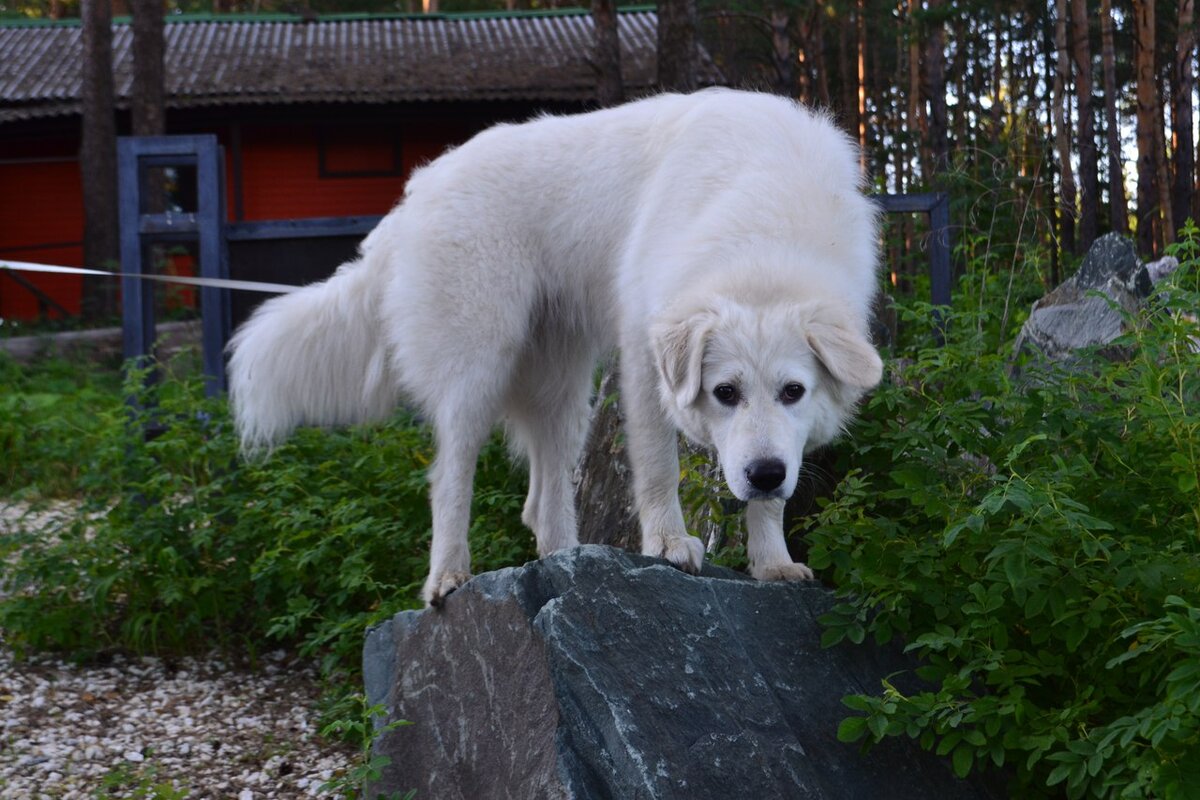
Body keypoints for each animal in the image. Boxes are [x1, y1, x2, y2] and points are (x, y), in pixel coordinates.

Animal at [225, 89, 883, 606]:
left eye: (794, 392)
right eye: (725, 393)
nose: (765, 474)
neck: (764, 238)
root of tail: (418, 189)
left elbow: (770, 502)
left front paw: (773, 564)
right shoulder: (643, 359)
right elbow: (659, 469)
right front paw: (669, 545)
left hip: (564, 390)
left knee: (541, 504)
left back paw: (570, 561)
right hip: (479, 369)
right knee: (450, 477)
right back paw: (447, 578)